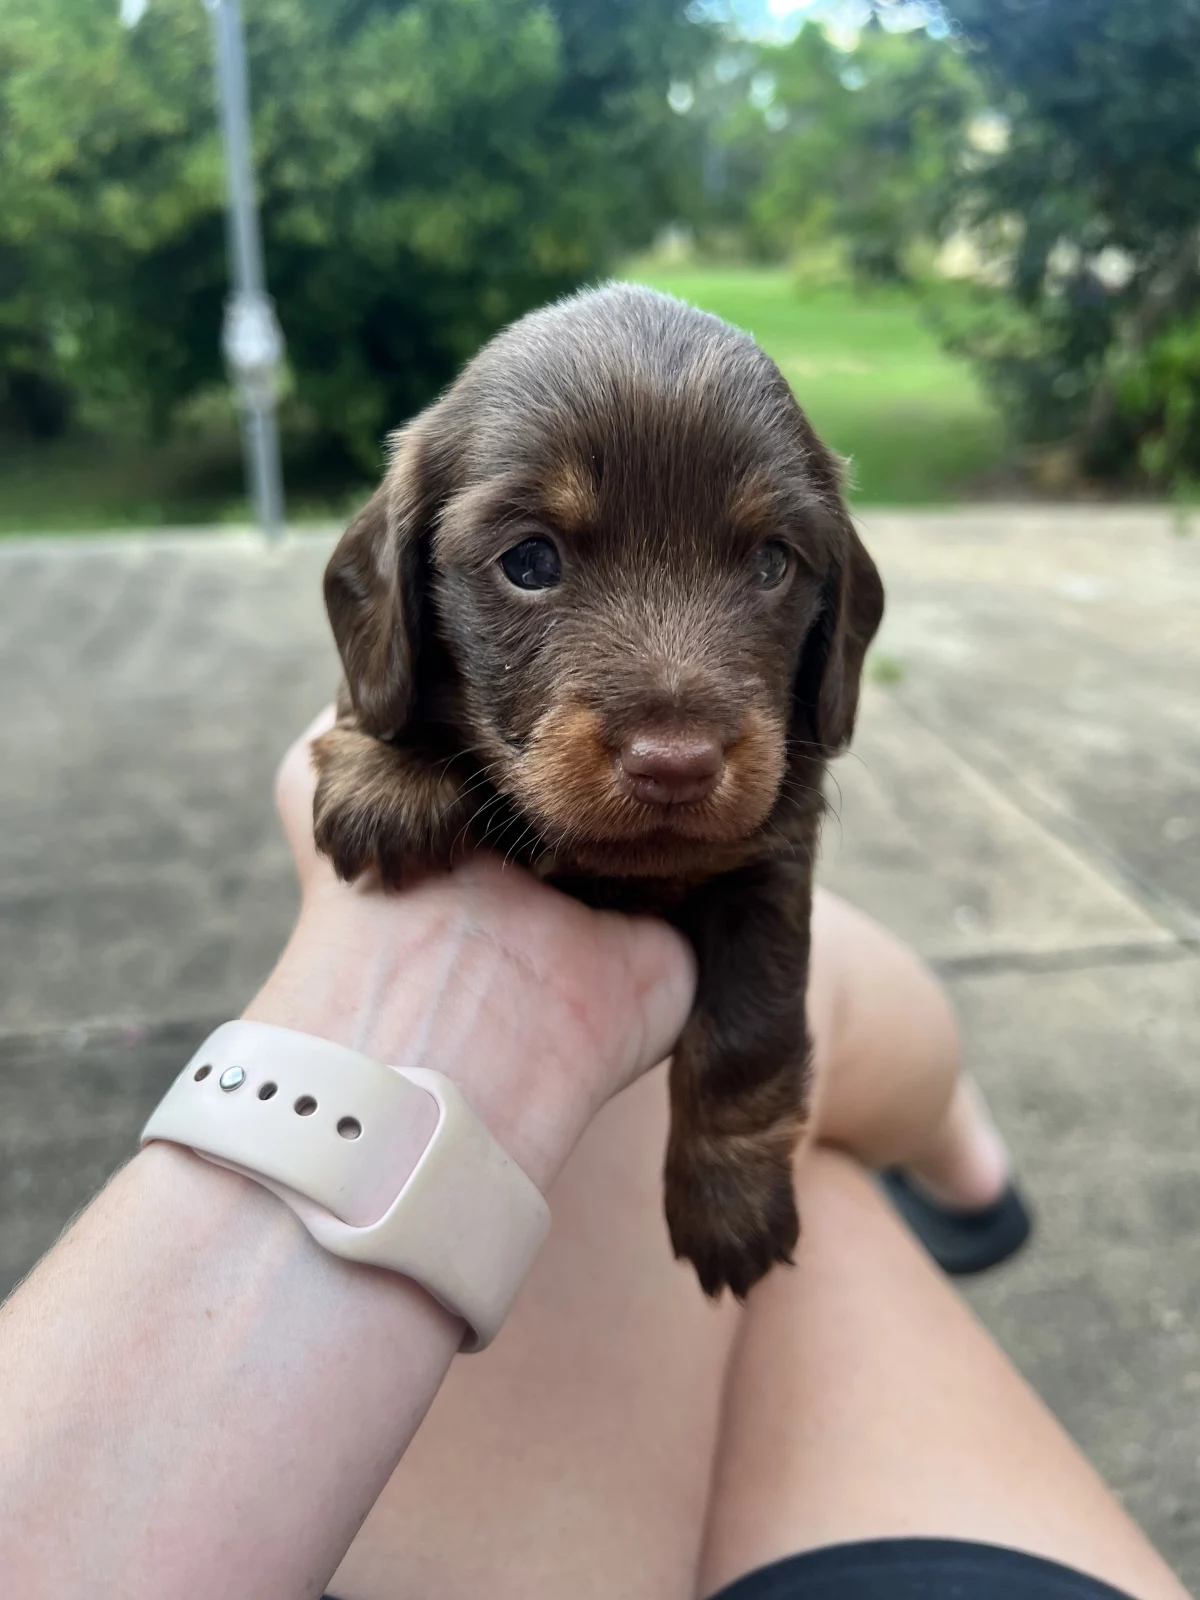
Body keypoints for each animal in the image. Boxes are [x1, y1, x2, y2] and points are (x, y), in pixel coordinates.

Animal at [313, 283, 884, 1298]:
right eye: (530, 561)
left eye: (772, 562)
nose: (676, 763)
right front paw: (387, 773)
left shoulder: (769, 874)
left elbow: (745, 1038)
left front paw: (730, 1203)